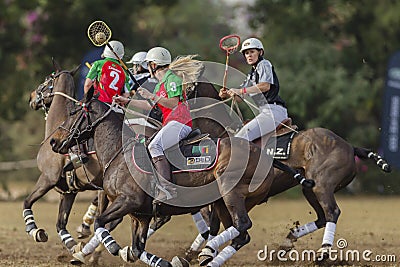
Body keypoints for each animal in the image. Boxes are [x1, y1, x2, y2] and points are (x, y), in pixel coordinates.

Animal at [48, 86, 276, 267]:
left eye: (74, 112)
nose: (53, 141)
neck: (118, 152)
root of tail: (265, 156)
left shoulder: (128, 201)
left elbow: (99, 223)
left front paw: (113, 247)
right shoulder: (139, 215)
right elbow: (136, 249)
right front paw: (162, 262)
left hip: (230, 191)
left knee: (242, 225)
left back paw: (205, 252)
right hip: (222, 203)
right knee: (240, 235)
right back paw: (206, 256)